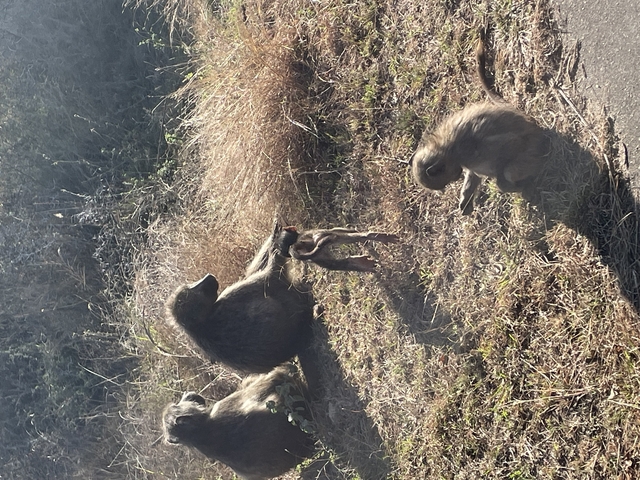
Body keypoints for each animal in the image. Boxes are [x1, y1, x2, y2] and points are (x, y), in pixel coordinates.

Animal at [167, 223, 314, 373]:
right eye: (196, 289)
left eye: (189, 286)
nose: (208, 276)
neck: (200, 325)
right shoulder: (232, 296)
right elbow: (271, 277)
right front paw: (279, 242)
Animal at [410, 38, 550, 215]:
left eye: (449, 179)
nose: (456, 177)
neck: (447, 150)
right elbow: (474, 173)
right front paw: (466, 200)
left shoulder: (467, 150)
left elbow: (512, 144)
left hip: (531, 153)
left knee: (510, 170)